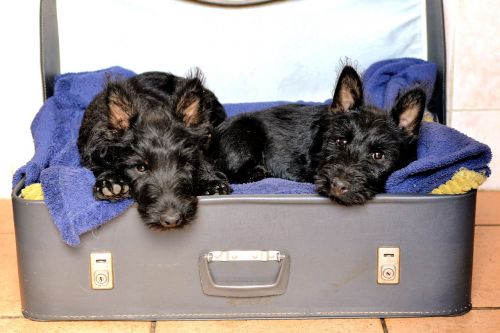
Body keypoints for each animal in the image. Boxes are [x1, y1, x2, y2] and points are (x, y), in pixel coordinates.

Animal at [77, 70, 230, 228]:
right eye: (141, 168)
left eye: (184, 164)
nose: (172, 220)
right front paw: (110, 182)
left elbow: (204, 159)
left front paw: (211, 183)